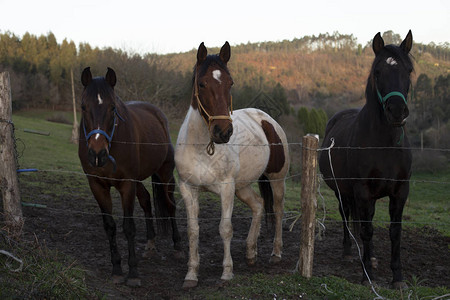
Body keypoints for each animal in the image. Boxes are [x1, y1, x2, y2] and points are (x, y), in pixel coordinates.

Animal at [78, 67, 181, 286]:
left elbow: (129, 227)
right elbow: (110, 226)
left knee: (170, 205)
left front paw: (133, 272)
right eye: (83, 106)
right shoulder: (97, 186)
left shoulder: (126, 184)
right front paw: (117, 269)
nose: (97, 154)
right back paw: (150, 244)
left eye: (113, 107)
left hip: (165, 175)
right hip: (138, 181)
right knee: (146, 200)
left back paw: (178, 245)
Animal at [174, 41, 290, 288]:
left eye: (230, 83)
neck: (202, 148)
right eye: (202, 83)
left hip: (276, 179)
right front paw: (191, 274)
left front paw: (227, 272)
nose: (223, 132)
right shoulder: (188, 188)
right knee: (258, 205)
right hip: (243, 186)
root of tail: (267, 120)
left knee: (277, 210)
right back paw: (250, 252)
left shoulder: (226, 188)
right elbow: (193, 231)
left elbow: (225, 229)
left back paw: (275, 253)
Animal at [318, 31, 414, 288]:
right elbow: (367, 230)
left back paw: (368, 257)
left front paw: (397, 278)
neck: (384, 145)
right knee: (347, 216)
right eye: (378, 71)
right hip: (342, 191)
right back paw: (350, 252)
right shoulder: (361, 190)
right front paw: (367, 276)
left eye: (408, 70)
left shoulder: (400, 191)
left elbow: (394, 232)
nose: (397, 111)